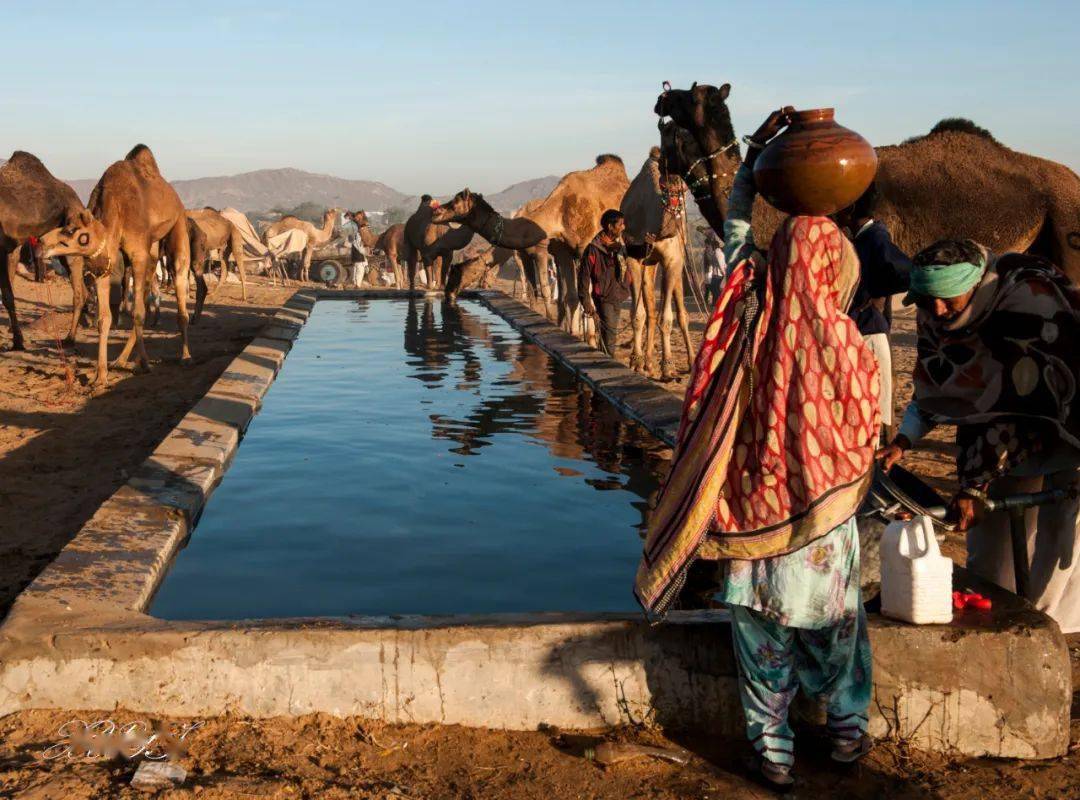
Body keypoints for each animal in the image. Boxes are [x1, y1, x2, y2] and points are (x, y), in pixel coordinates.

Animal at [0, 150, 89, 349]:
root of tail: (80, 204)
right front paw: (16, 340)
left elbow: (8, 296)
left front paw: (18, 342)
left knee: (79, 294)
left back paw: (70, 338)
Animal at [39, 147, 195, 390]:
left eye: (72, 231)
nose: (42, 242)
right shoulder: (104, 263)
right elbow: (104, 318)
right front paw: (100, 377)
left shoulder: (137, 253)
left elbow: (138, 313)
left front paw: (145, 365)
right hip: (151, 253)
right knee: (148, 290)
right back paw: (121, 360)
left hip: (177, 228)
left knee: (178, 284)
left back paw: (185, 357)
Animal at [622, 148, 695, 380]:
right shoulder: (633, 257)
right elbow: (638, 314)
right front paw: (636, 362)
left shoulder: (672, 260)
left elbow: (668, 318)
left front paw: (668, 367)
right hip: (650, 264)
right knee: (651, 310)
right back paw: (648, 362)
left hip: (678, 261)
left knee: (682, 313)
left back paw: (691, 362)